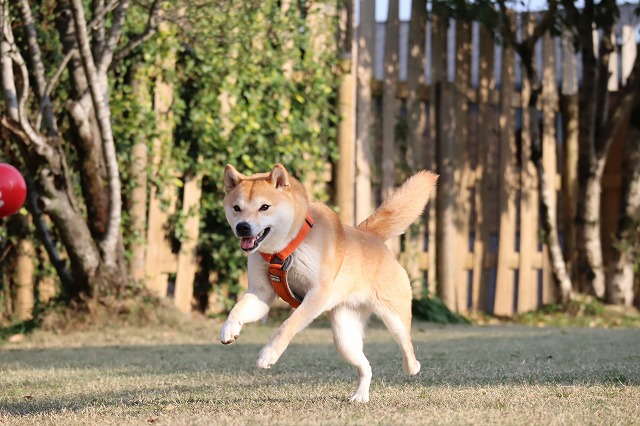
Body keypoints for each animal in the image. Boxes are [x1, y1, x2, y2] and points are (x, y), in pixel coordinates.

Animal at [220, 163, 438, 402]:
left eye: (264, 207)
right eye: (237, 208)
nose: (242, 227)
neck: (285, 250)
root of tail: (370, 235)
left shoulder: (318, 293)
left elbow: (288, 325)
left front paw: (269, 354)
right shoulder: (262, 293)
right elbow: (238, 309)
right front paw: (229, 329)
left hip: (394, 317)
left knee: (406, 345)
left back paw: (412, 367)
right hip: (345, 338)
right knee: (366, 366)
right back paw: (361, 395)